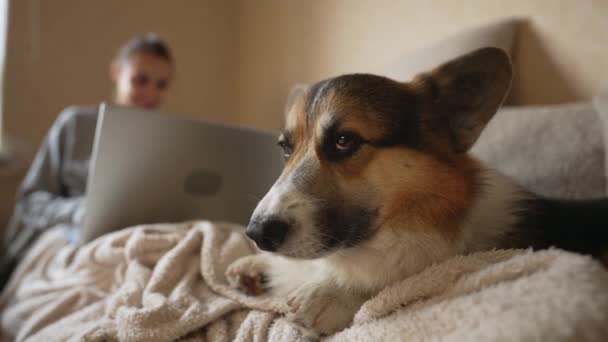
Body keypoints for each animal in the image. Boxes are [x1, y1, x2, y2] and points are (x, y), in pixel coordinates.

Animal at [226, 46, 604, 338]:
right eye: (285, 148)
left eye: (344, 140)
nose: (258, 234)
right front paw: (258, 265)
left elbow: (394, 267)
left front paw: (332, 291)